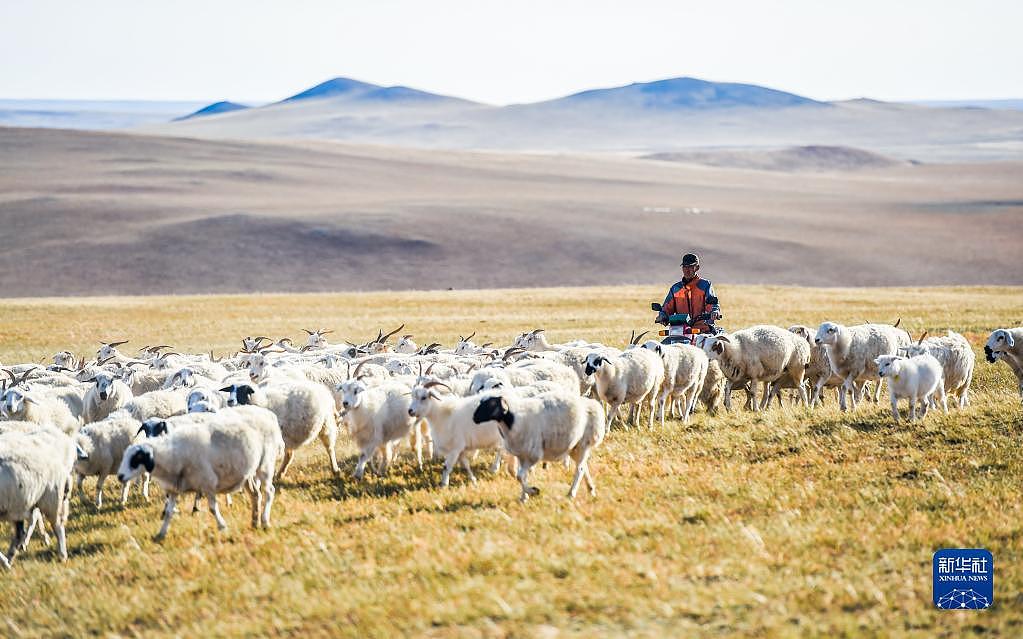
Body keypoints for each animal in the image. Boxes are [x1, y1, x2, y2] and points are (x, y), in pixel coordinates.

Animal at [0, 423, 77, 568]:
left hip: (51, 498)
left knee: (58, 526)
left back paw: (62, 555)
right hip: (20, 505)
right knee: (20, 534)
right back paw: (10, 558)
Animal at [117, 402, 282, 539]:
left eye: (137, 458)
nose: (120, 476)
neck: (172, 453)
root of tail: (269, 414)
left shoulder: (207, 482)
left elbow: (212, 508)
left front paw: (221, 526)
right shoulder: (174, 487)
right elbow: (169, 512)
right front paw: (161, 533)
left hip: (265, 465)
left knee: (269, 491)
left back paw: (265, 521)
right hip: (247, 473)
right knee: (256, 494)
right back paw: (255, 522)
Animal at [472, 390, 605, 500]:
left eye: (491, 405)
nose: (474, 418)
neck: (512, 421)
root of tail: (592, 404)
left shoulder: (533, 455)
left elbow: (520, 476)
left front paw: (533, 491)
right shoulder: (522, 455)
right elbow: (522, 476)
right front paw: (524, 497)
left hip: (584, 443)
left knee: (580, 469)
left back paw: (571, 493)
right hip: (574, 447)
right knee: (583, 466)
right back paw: (591, 489)